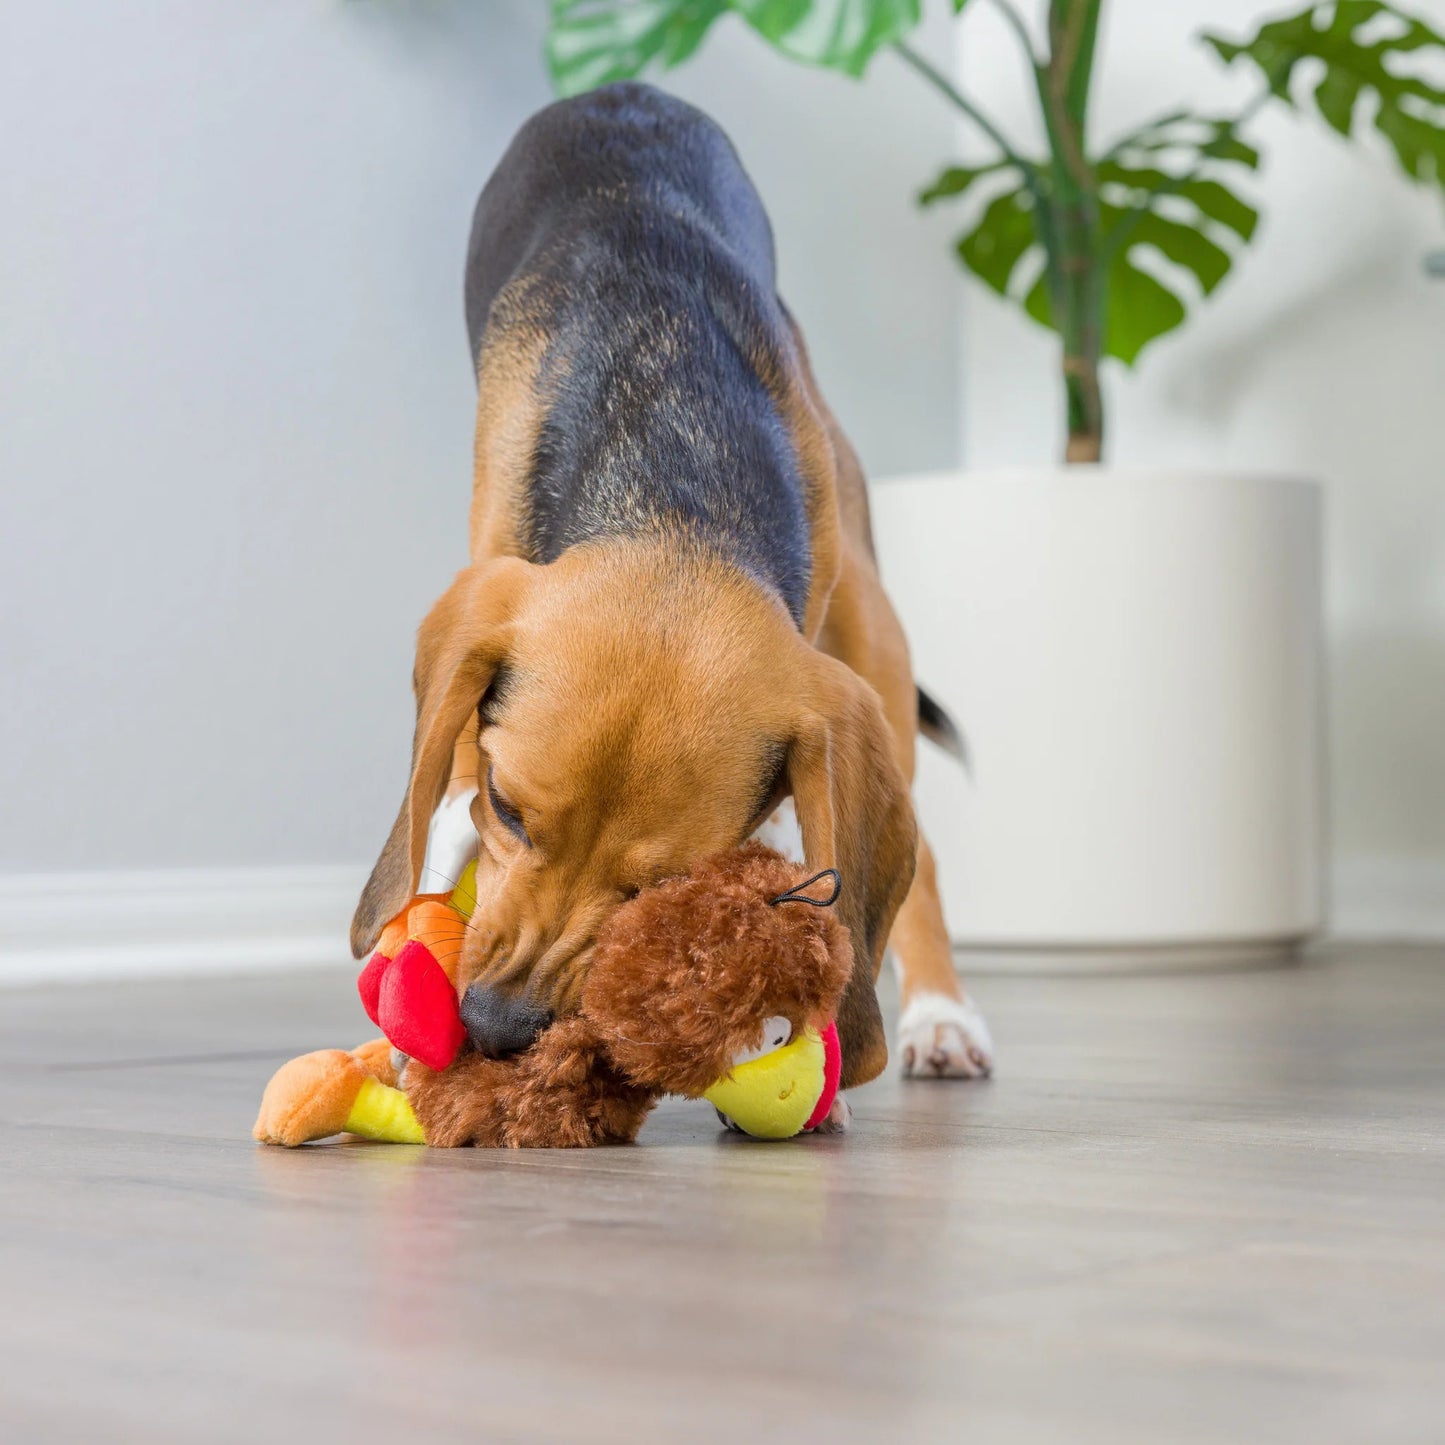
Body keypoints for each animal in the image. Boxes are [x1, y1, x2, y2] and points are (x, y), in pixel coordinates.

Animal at [352, 84, 994, 1109]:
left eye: (667, 887)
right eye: (508, 808)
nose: (495, 1028)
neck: (673, 487)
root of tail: (625, 91)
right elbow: (444, 775)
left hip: (869, 631)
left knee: (920, 850)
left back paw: (941, 1016)